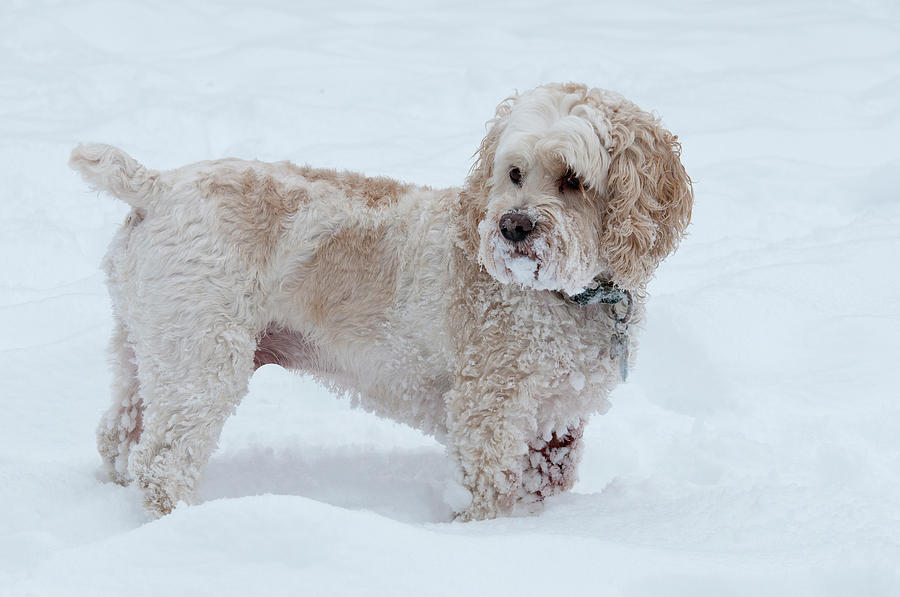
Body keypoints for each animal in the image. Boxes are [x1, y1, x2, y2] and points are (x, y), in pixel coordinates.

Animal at [70, 81, 692, 520]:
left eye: (573, 180)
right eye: (514, 173)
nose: (512, 226)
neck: (567, 293)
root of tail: (158, 187)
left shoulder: (555, 421)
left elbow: (544, 482)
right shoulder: (487, 409)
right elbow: (487, 490)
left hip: (144, 348)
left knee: (118, 434)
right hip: (202, 360)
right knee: (162, 465)